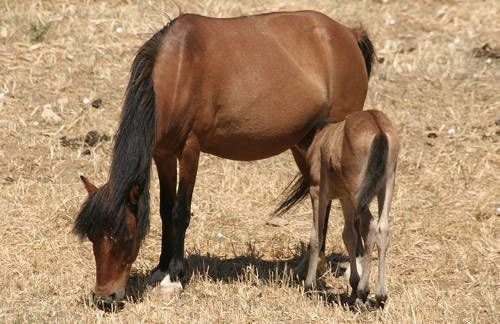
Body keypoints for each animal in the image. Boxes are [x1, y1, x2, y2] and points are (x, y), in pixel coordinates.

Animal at [72, 9, 374, 304]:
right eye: (92, 237)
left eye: (125, 236)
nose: (105, 298)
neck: (179, 70)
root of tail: (348, 34)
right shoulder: (163, 154)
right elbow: (165, 211)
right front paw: (160, 270)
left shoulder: (190, 150)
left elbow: (180, 212)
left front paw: (174, 277)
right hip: (305, 143)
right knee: (321, 197)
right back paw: (307, 266)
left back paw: (355, 267)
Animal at [280, 109, 400, 306]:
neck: (320, 136)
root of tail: (378, 129)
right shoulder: (345, 198)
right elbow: (349, 235)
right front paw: (353, 283)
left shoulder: (318, 192)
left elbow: (317, 235)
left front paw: (309, 285)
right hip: (386, 185)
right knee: (382, 228)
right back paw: (380, 295)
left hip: (359, 192)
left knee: (370, 226)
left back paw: (364, 292)